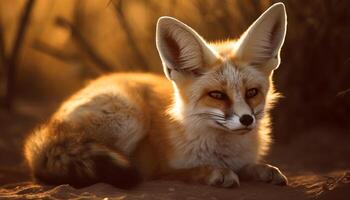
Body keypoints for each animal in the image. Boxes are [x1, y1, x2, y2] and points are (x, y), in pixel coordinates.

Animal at [23, 2, 288, 188]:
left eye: (252, 92)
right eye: (217, 95)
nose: (247, 120)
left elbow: (250, 166)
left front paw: (261, 169)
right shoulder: (155, 166)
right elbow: (176, 173)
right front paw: (212, 172)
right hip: (132, 116)